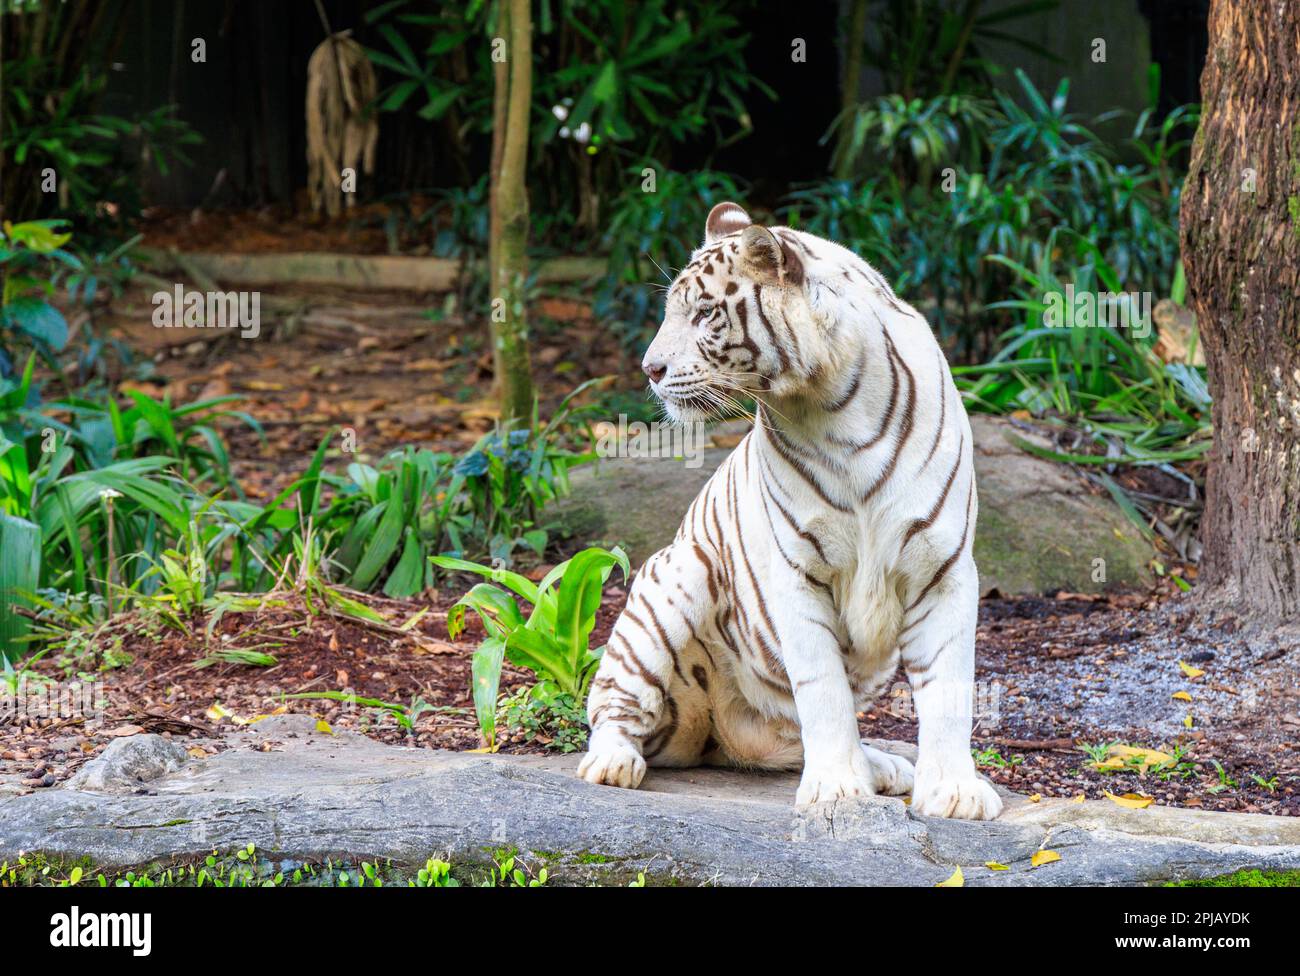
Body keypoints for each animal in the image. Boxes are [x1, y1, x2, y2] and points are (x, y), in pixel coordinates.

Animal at [574, 202, 998, 821]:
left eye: (704, 313)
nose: (650, 368)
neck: (834, 406)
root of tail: (720, 735)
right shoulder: (796, 570)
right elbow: (823, 691)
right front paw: (838, 790)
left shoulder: (941, 567)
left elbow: (948, 686)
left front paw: (954, 791)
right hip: (675, 573)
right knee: (616, 705)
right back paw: (611, 764)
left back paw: (886, 767)